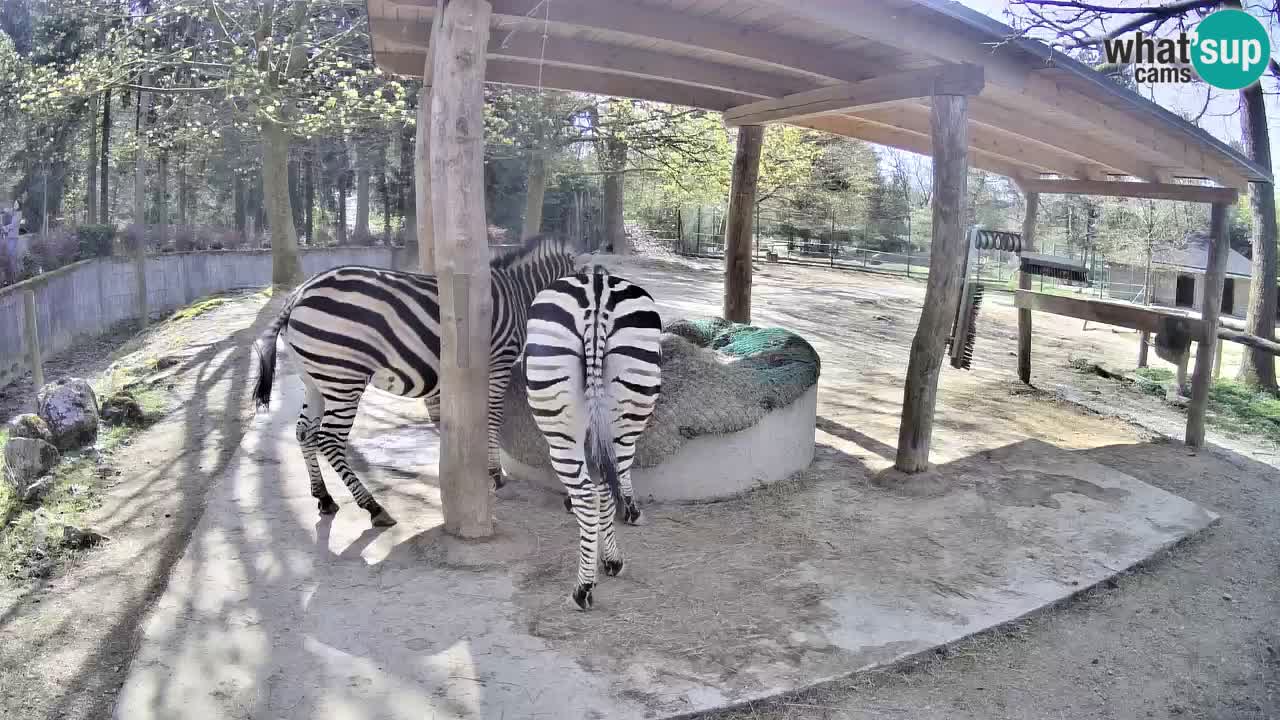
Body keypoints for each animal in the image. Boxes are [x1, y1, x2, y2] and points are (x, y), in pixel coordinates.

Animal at [252, 234, 580, 527]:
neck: (519, 293)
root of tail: (298, 295)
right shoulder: (498, 361)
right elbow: (493, 417)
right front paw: (494, 473)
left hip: (316, 380)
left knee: (303, 432)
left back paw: (323, 497)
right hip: (344, 378)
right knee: (329, 439)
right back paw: (373, 507)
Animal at [523, 265, 662, 611]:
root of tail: (597, 295)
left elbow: (591, 490)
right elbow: (606, 486)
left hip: (561, 432)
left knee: (588, 495)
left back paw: (583, 588)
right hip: (628, 410)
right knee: (613, 480)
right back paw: (613, 560)